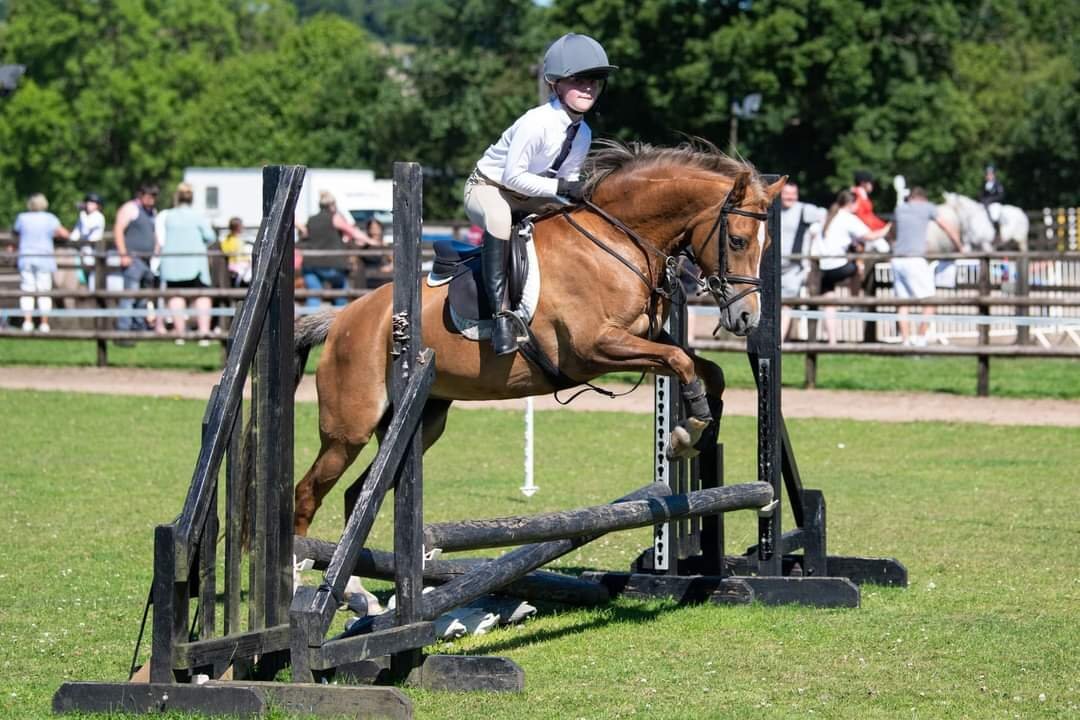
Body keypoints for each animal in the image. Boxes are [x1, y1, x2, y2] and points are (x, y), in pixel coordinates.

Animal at [283, 141, 785, 537]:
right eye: (738, 241)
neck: (617, 240)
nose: (747, 317)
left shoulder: (644, 340)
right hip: (349, 428)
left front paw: (698, 428)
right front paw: (682, 436)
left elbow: (706, 369)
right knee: (307, 494)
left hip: (421, 421)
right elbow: (679, 363)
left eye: (766, 243)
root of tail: (343, 319)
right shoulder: (595, 349)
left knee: (357, 495)